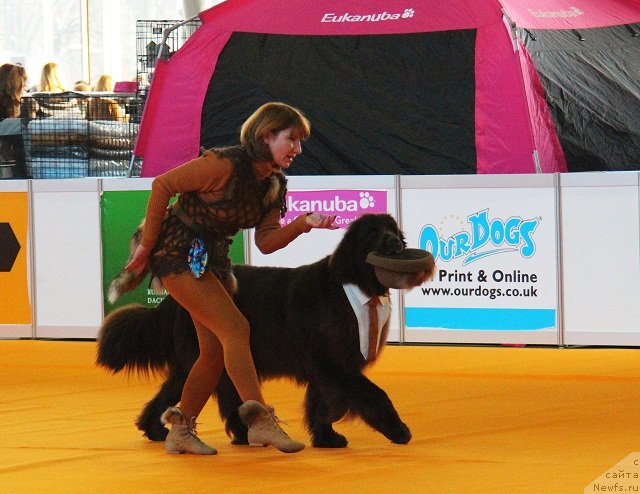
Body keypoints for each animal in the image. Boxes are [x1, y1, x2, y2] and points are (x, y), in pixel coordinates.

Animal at [96, 212, 436, 448]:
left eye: (393, 230)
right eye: (373, 233)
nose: (395, 242)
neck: (349, 286)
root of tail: (173, 302)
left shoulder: (325, 365)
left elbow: (320, 402)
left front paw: (326, 438)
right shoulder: (332, 362)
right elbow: (374, 394)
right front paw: (398, 430)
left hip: (207, 358)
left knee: (185, 393)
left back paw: (165, 429)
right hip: (208, 354)